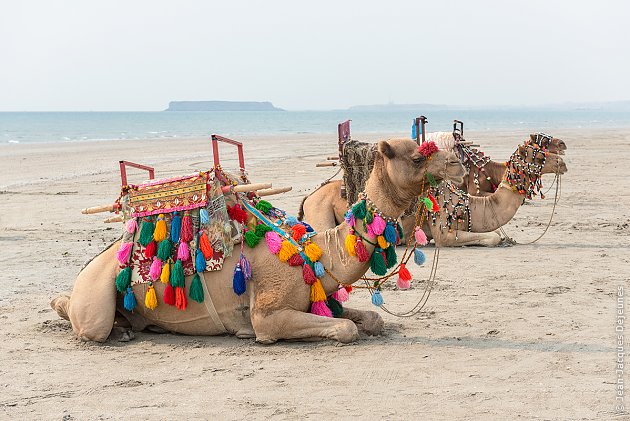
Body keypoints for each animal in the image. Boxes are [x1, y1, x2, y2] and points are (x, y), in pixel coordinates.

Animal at [51, 139, 466, 342]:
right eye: (417, 157)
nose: (458, 163)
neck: (316, 253)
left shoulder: (321, 299)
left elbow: (372, 320)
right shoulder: (268, 315)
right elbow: (345, 331)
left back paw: (133, 327)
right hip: (95, 295)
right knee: (88, 323)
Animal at [298, 137, 572, 246]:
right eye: (539, 153)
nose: (562, 161)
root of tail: (309, 197)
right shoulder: (443, 232)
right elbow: (492, 236)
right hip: (321, 211)